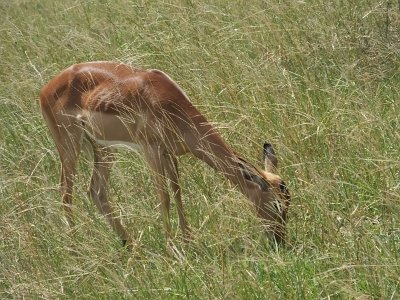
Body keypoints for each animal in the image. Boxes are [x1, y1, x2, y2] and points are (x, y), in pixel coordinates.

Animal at [39, 61, 290, 248]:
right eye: (277, 205)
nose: (279, 239)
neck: (168, 103)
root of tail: (46, 89)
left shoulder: (171, 154)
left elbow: (177, 192)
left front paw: (189, 241)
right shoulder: (152, 151)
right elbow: (164, 198)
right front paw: (172, 249)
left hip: (103, 148)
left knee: (96, 191)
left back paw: (131, 245)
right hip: (69, 145)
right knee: (65, 192)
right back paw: (74, 246)